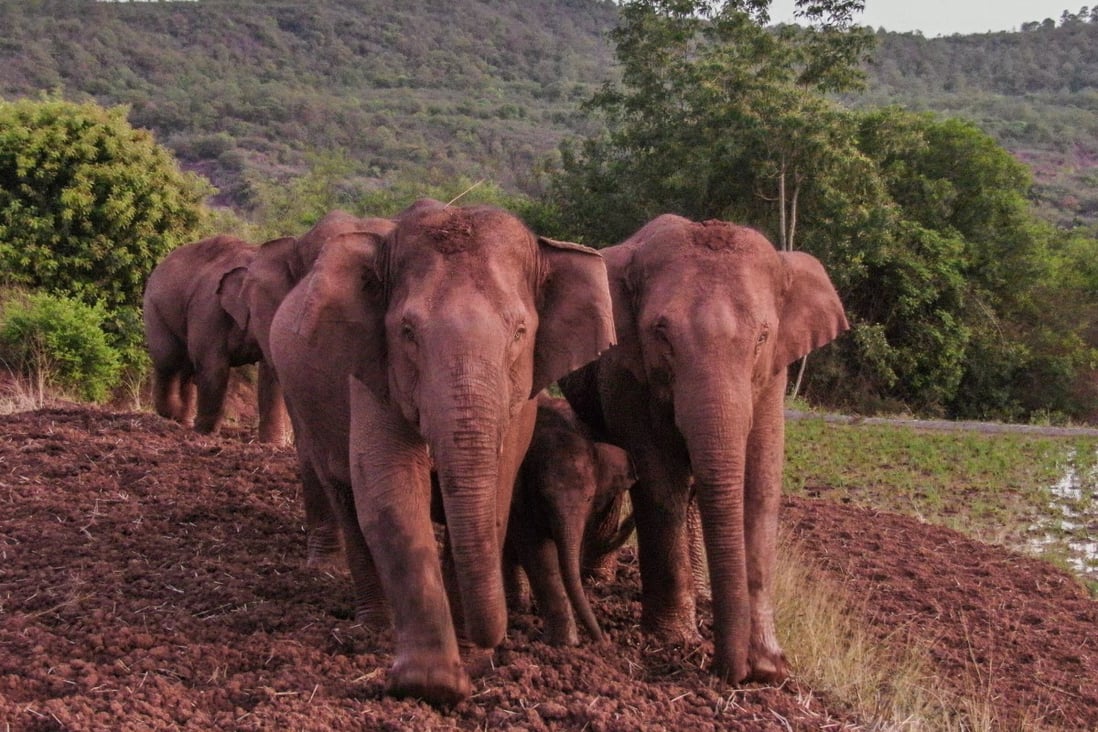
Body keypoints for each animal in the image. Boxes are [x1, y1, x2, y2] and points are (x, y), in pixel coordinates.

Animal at [142, 235, 287, 441]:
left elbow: (269, 376)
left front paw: (272, 444)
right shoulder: (208, 309)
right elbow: (213, 366)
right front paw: (206, 433)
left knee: (185, 368)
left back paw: (183, 420)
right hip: (155, 309)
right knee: (169, 360)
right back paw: (176, 417)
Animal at [262, 198, 614, 702]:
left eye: (520, 331)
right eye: (407, 331)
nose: (492, 642)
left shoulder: (522, 399)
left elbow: (497, 497)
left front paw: (465, 653)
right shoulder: (373, 370)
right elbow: (390, 494)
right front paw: (432, 685)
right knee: (345, 496)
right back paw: (373, 627)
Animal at [557, 211, 847, 689]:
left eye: (763, 337)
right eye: (661, 334)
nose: (736, 672)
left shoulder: (774, 376)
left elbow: (760, 485)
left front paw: (769, 663)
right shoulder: (627, 371)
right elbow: (659, 483)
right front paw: (674, 640)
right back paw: (598, 577)